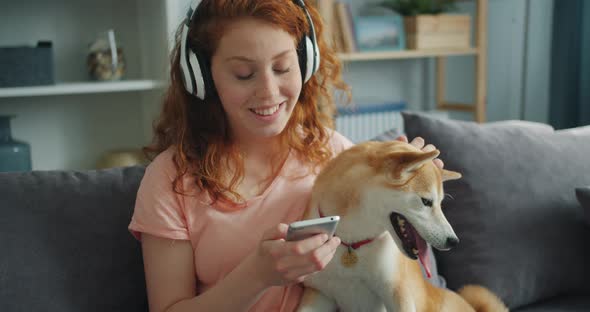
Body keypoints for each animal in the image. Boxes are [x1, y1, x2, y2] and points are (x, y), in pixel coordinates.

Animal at [298, 141, 506, 312]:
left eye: (440, 203)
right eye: (426, 201)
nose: (453, 241)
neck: (352, 242)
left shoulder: (397, 292)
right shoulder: (319, 293)